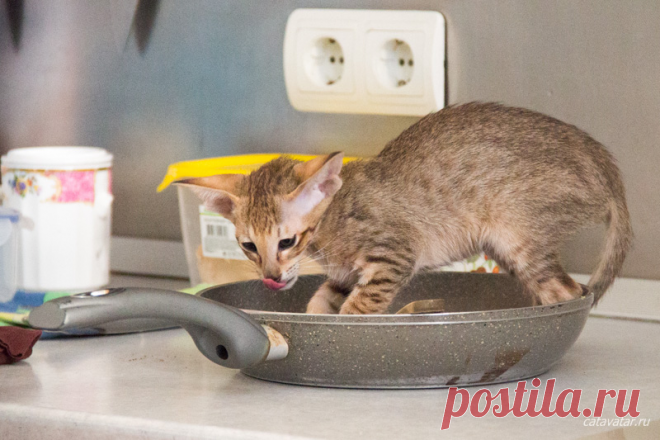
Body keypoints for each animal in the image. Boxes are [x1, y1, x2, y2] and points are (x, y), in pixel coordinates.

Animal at [178, 103, 632, 314]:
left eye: (287, 242)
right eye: (249, 246)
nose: (270, 278)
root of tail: (602, 162)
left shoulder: (392, 255)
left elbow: (358, 307)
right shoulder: (344, 275)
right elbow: (319, 302)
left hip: (520, 240)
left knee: (570, 294)